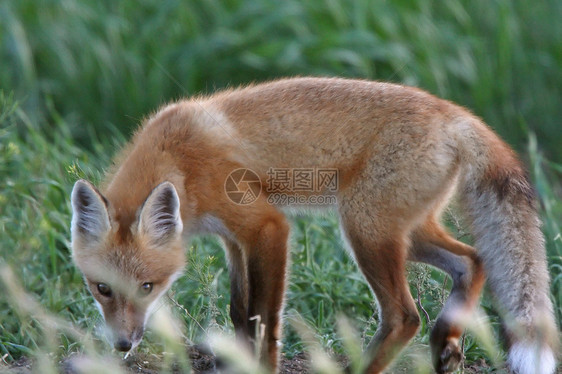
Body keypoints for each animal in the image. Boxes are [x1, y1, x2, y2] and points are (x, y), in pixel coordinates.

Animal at [71, 77, 556, 372]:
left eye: (148, 287)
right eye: (102, 289)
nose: (123, 345)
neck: (178, 159)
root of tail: (455, 114)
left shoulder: (267, 226)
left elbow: (265, 320)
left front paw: (261, 367)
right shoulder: (233, 239)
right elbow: (240, 312)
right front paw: (238, 361)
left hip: (366, 229)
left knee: (404, 316)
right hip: (406, 232)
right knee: (473, 261)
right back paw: (447, 341)